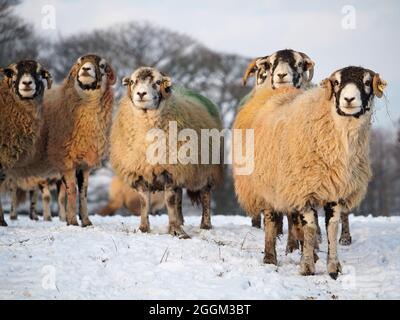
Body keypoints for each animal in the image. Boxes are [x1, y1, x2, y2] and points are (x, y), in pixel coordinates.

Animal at [111, 67, 223, 238]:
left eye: (158, 82)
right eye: (132, 82)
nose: (141, 93)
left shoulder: (171, 170)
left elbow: (169, 201)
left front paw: (176, 231)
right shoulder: (140, 172)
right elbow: (144, 202)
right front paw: (144, 228)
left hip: (206, 170)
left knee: (205, 195)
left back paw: (205, 225)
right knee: (179, 196)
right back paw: (181, 220)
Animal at [248, 65, 386, 278]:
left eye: (366, 82)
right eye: (336, 82)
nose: (349, 99)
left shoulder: (335, 188)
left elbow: (332, 226)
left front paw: (333, 268)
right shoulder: (304, 188)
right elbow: (311, 226)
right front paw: (307, 267)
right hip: (269, 183)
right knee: (271, 220)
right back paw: (270, 257)